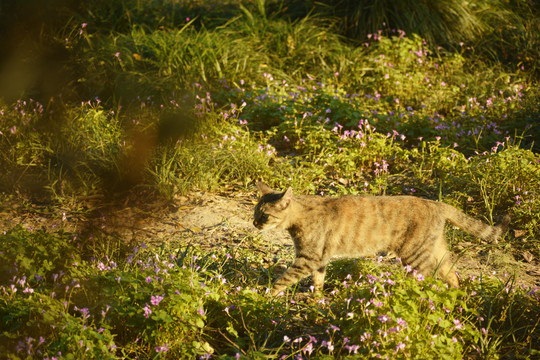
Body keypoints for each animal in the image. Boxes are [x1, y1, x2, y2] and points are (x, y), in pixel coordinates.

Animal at [253, 181, 510, 294]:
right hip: (436, 251)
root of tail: (436, 203)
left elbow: (283, 279)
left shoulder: (309, 258)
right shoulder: (320, 259)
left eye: (264, 215)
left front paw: (266, 295)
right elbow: (318, 282)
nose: (254, 223)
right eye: (255, 212)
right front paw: (317, 300)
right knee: (452, 275)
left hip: (414, 257)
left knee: (429, 279)